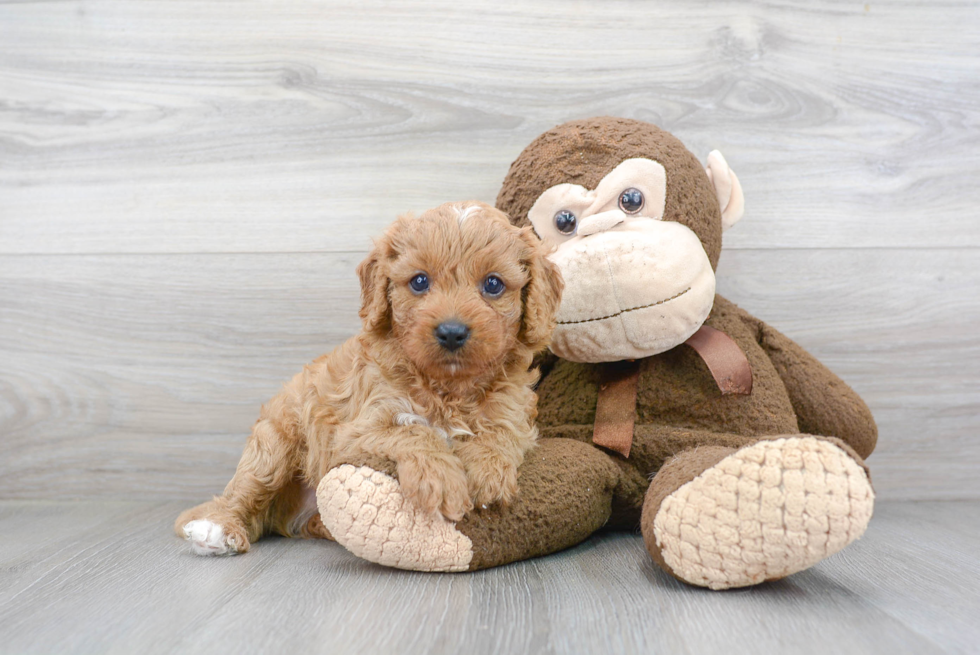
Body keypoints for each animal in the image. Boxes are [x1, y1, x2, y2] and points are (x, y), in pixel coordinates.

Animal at [172, 199, 564, 552]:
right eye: (419, 282)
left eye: (493, 284)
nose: (452, 332)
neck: (448, 388)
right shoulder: (355, 429)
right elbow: (414, 432)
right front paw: (441, 479)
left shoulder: (515, 413)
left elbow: (500, 433)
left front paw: (488, 473)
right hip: (274, 444)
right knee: (243, 494)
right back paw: (217, 528)